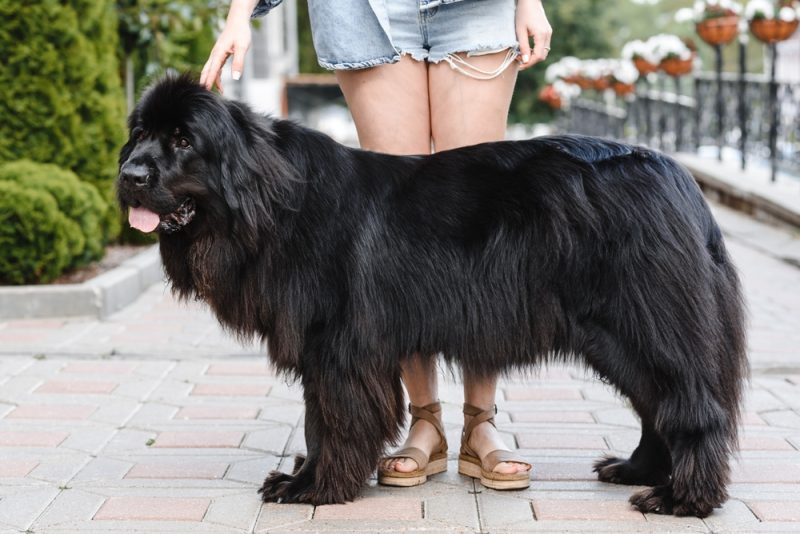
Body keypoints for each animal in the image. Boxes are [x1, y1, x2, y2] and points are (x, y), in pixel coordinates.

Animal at [115, 75, 748, 520]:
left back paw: (682, 499)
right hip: (615, 335)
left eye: (182, 140)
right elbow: (322, 419)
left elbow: (329, 420)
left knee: (691, 406)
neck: (273, 202)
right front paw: (310, 480)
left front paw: (313, 487)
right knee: (655, 405)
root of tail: (679, 179)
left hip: (646, 324)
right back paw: (638, 471)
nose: (128, 175)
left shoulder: (335, 347)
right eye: (138, 134)